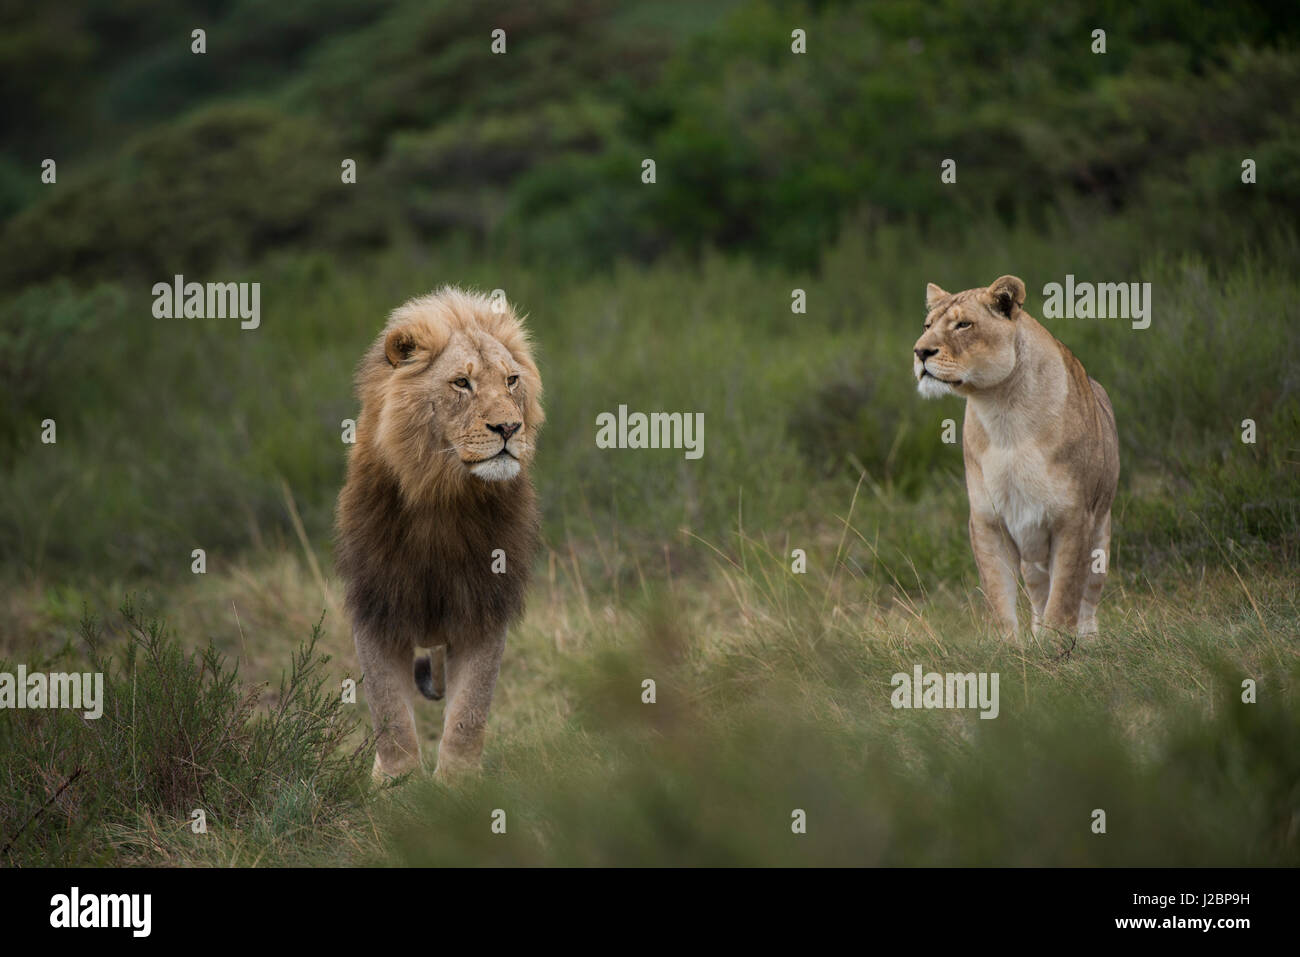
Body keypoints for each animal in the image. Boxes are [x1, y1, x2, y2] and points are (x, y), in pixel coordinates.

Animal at [335, 286, 543, 780]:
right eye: (461, 383)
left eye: (511, 380)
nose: (508, 427)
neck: (443, 493)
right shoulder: (377, 608)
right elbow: (390, 716)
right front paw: (397, 785)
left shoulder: (484, 607)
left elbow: (469, 712)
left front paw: (457, 785)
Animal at [915, 274, 1118, 642]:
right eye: (927, 325)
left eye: (963, 324)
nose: (920, 351)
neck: (1001, 410)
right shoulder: (987, 521)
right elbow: (998, 594)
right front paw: (1008, 646)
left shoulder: (1073, 519)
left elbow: (1065, 594)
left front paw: (1056, 644)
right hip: (1032, 554)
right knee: (1038, 593)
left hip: (1100, 537)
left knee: (1088, 598)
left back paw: (1088, 641)